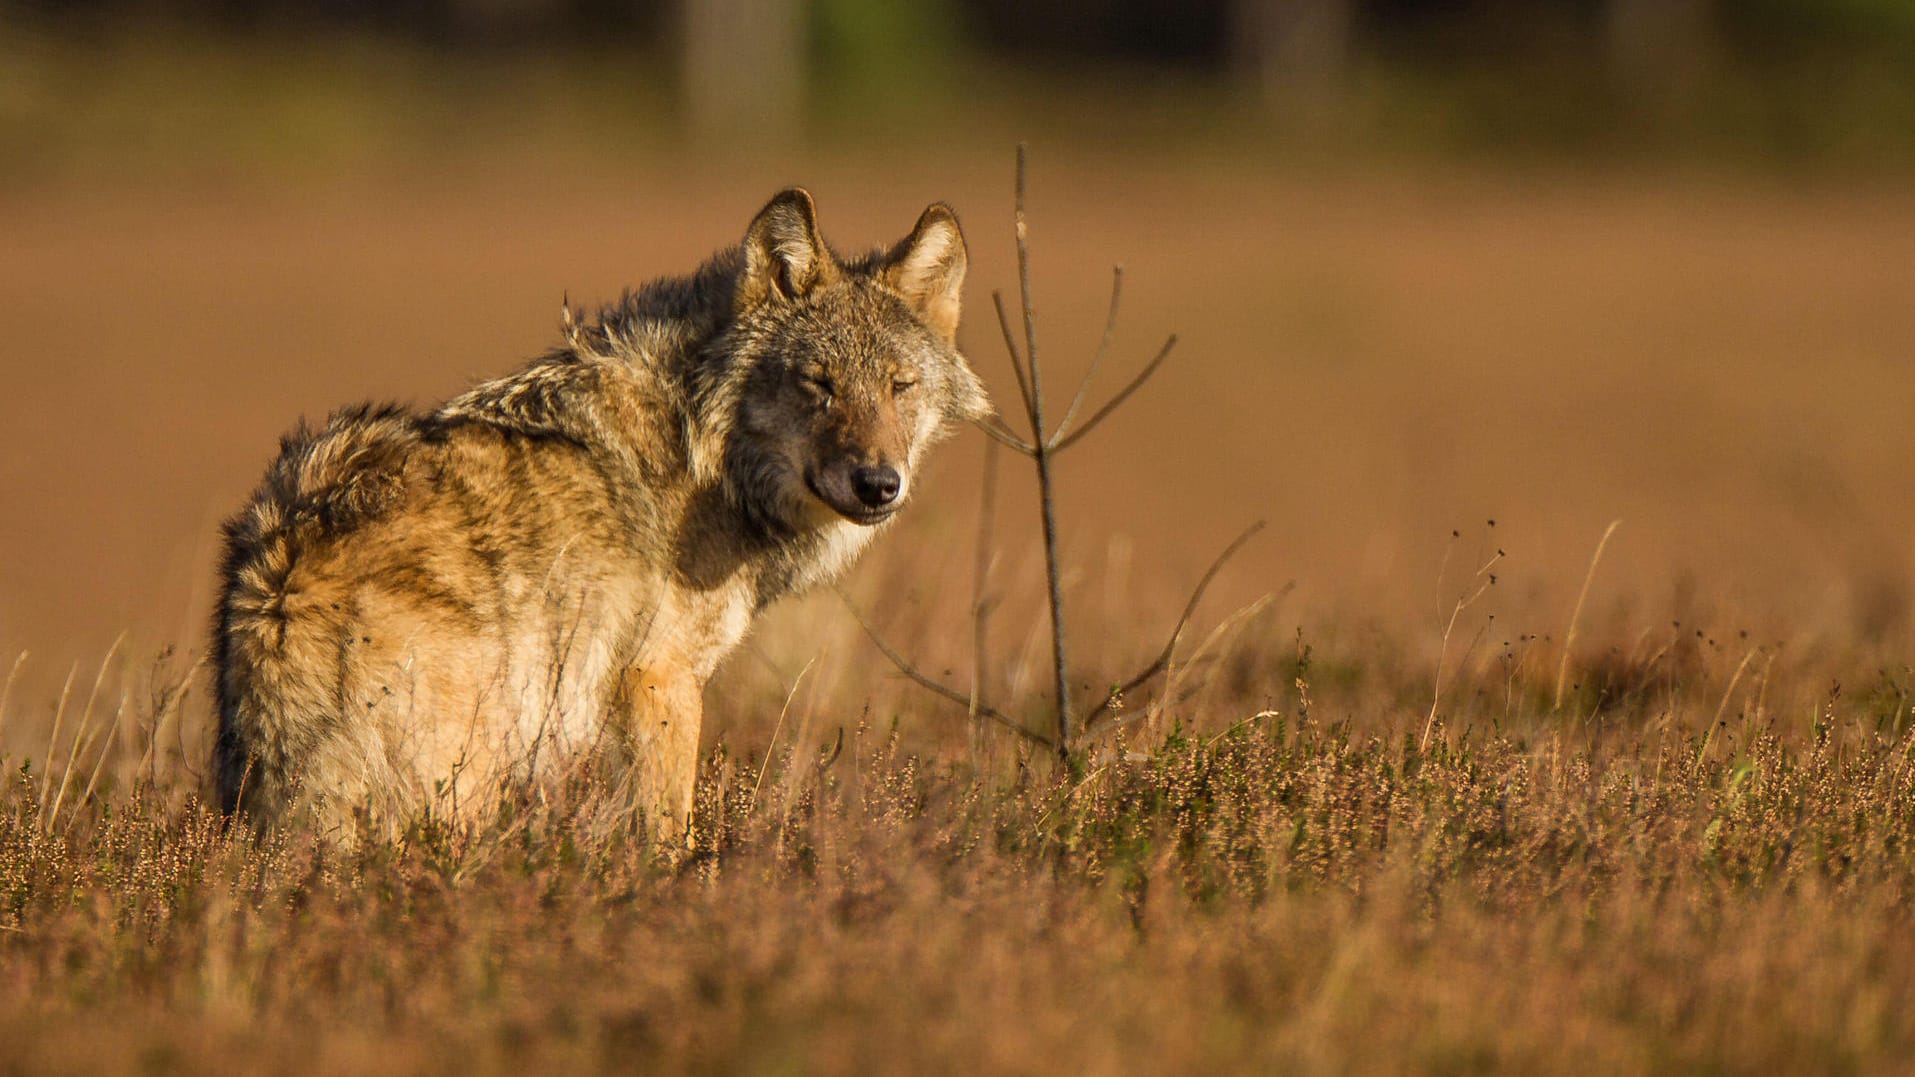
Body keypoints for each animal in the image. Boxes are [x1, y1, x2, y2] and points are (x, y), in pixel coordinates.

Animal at [211, 190, 988, 839]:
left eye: (899, 387)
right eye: (818, 385)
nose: (879, 483)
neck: (710, 448)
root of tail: (278, 574)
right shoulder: (658, 678)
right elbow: (668, 835)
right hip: (468, 769)